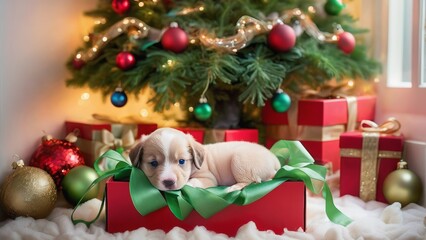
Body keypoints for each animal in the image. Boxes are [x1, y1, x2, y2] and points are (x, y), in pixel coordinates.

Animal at [130, 127, 282, 191]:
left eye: (181, 161)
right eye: (153, 163)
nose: (168, 182)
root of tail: (275, 161)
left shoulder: (208, 178)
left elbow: (194, 181)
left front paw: (189, 184)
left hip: (239, 160)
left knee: (252, 181)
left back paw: (233, 188)